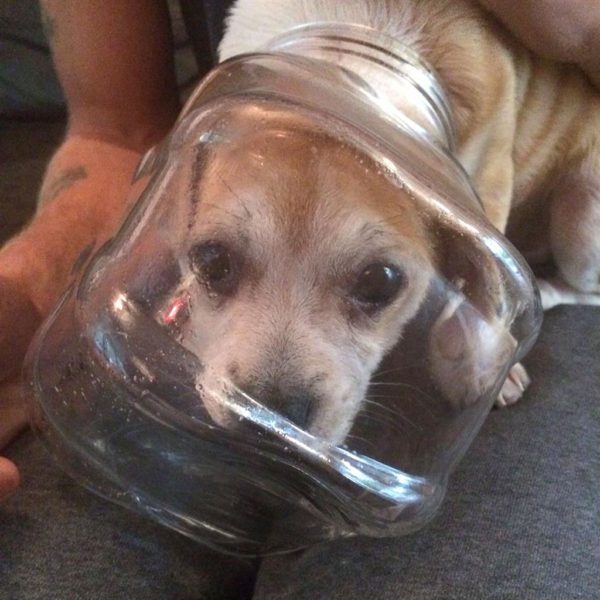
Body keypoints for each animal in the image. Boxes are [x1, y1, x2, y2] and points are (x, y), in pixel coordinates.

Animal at [143, 1, 596, 446]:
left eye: (381, 282)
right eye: (211, 261)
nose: (267, 420)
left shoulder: (490, 182)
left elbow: (484, 287)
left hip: (580, 220)